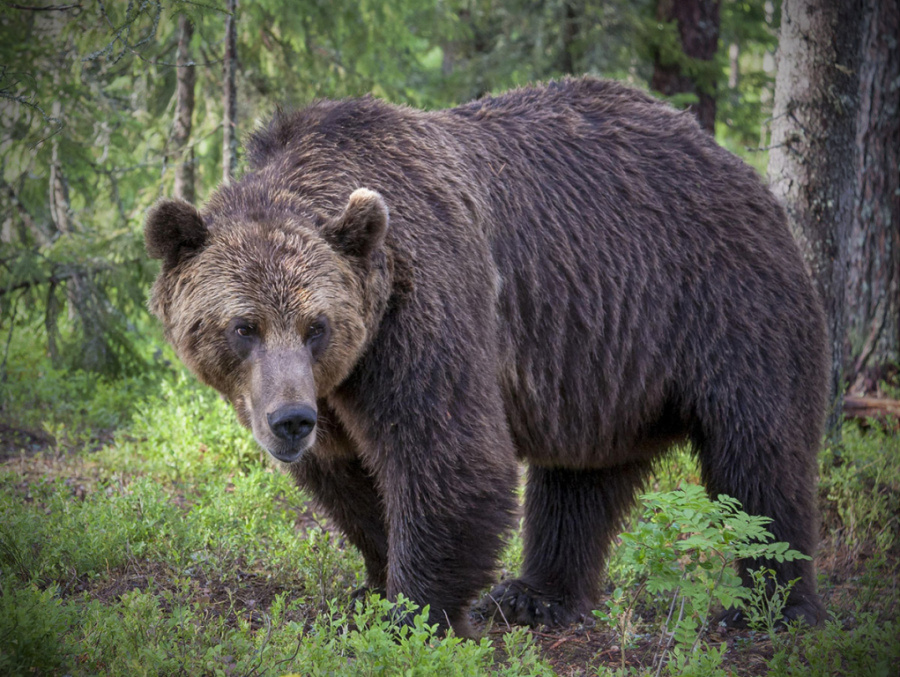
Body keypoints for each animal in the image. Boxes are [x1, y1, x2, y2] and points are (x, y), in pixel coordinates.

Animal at [144, 76, 828, 636]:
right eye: (244, 327)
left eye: (318, 326)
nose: (290, 421)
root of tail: (735, 163)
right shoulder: (337, 388)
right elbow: (347, 477)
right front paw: (371, 585)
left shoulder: (423, 308)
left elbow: (449, 454)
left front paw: (411, 613)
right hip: (602, 360)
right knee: (580, 478)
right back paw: (535, 596)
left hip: (726, 302)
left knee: (759, 456)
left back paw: (770, 605)